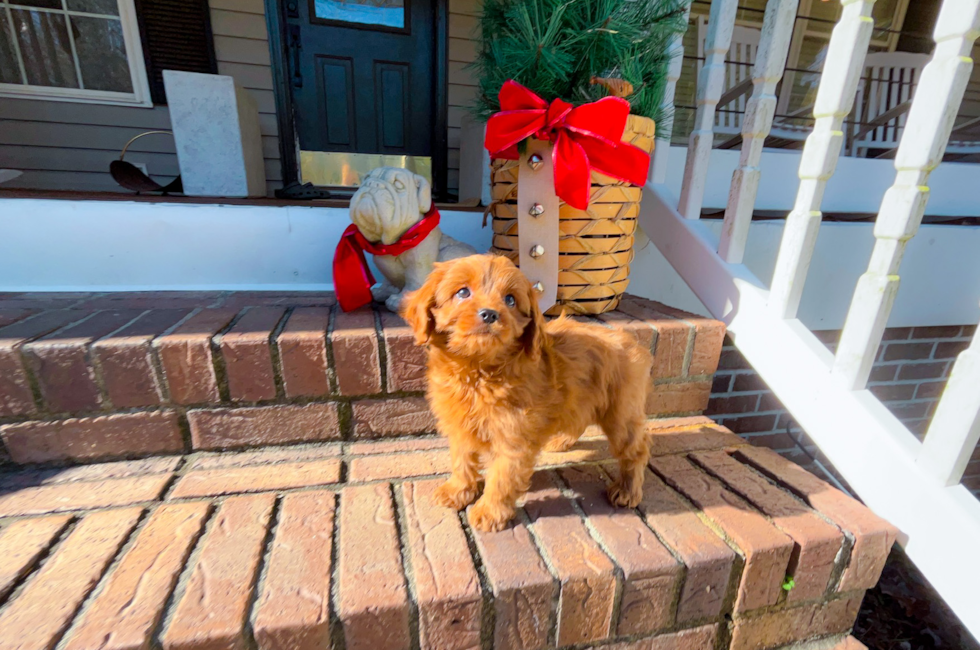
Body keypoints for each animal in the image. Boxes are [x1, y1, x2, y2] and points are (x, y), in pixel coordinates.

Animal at [402, 253, 656, 532]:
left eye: (510, 300)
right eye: (462, 292)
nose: (489, 314)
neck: (478, 370)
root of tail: (632, 342)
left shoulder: (514, 436)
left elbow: (502, 477)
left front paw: (489, 512)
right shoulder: (460, 426)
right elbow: (461, 460)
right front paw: (457, 491)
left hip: (621, 414)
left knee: (637, 449)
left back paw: (627, 490)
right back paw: (561, 441)